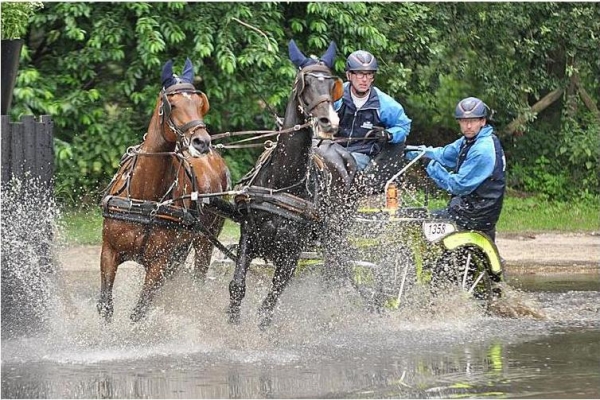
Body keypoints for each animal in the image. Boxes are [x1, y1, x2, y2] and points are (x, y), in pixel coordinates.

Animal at [98, 58, 230, 322]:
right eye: (172, 104)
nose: (202, 142)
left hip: (204, 241)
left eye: (200, 104)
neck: (144, 198)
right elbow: (106, 306)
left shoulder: (158, 263)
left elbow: (139, 312)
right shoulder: (108, 252)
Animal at [229, 39, 356, 328]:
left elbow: (270, 301)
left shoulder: (291, 254)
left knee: (337, 270)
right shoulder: (249, 236)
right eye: (304, 83)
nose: (329, 122)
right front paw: (232, 325)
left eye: (331, 83)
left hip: (336, 234)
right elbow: (237, 286)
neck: (282, 183)